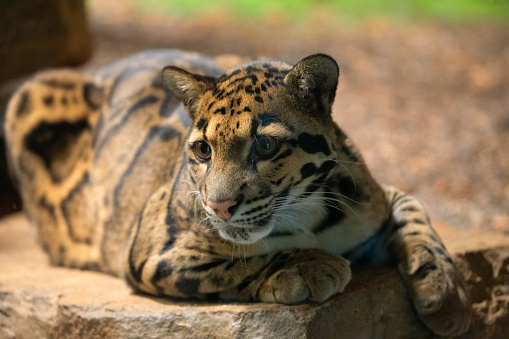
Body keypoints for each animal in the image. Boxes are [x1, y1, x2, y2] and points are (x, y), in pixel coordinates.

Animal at [5, 49, 470, 336]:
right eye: (202, 150)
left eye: (264, 145)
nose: (219, 206)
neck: (308, 217)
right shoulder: (153, 251)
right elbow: (238, 261)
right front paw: (307, 266)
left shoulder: (375, 193)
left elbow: (415, 210)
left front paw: (446, 293)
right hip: (28, 94)